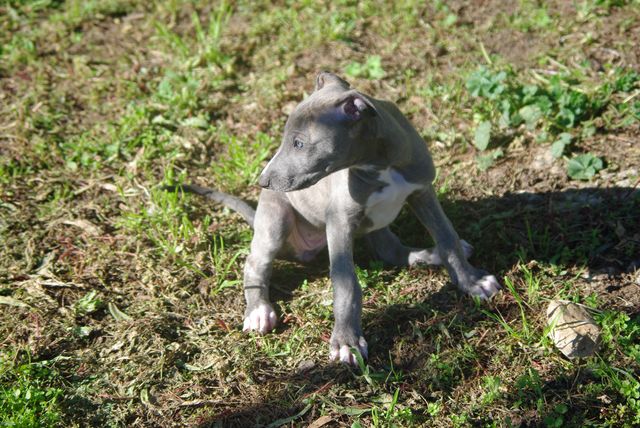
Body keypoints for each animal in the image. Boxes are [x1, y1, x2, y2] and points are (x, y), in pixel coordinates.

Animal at [172, 72, 500, 364]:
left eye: (299, 143)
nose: (262, 181)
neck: (377, 163)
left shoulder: (422, 192)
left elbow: (447, 238)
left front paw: (471, 281)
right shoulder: (339, 222)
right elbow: (346, 283)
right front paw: (346, 342)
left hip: (376, 224)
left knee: (392, 250)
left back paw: (430, 255)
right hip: (276, 220)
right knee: (255, 264)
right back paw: (258, 311)